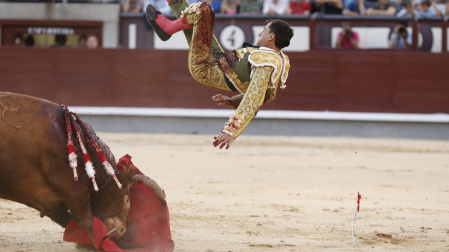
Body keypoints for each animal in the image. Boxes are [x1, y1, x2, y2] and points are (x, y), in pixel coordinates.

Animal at [0, 92, 164, 248]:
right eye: (127, 200)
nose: (122, 230)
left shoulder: (47, 201)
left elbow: (69, 222)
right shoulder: (73, 190)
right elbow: (87, 222)